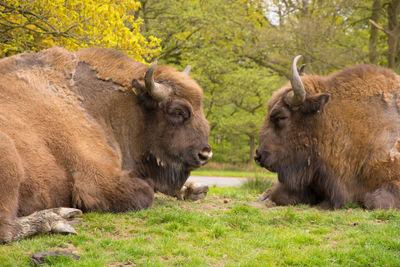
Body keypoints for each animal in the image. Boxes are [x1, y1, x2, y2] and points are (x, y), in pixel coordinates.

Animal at [0, 47, 212, 244]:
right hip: (9, 158)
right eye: (178, 112)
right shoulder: (95, 181)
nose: (205, 155)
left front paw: (193, 189)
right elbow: (147, 192)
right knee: (6, 229)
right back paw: (58, 219)